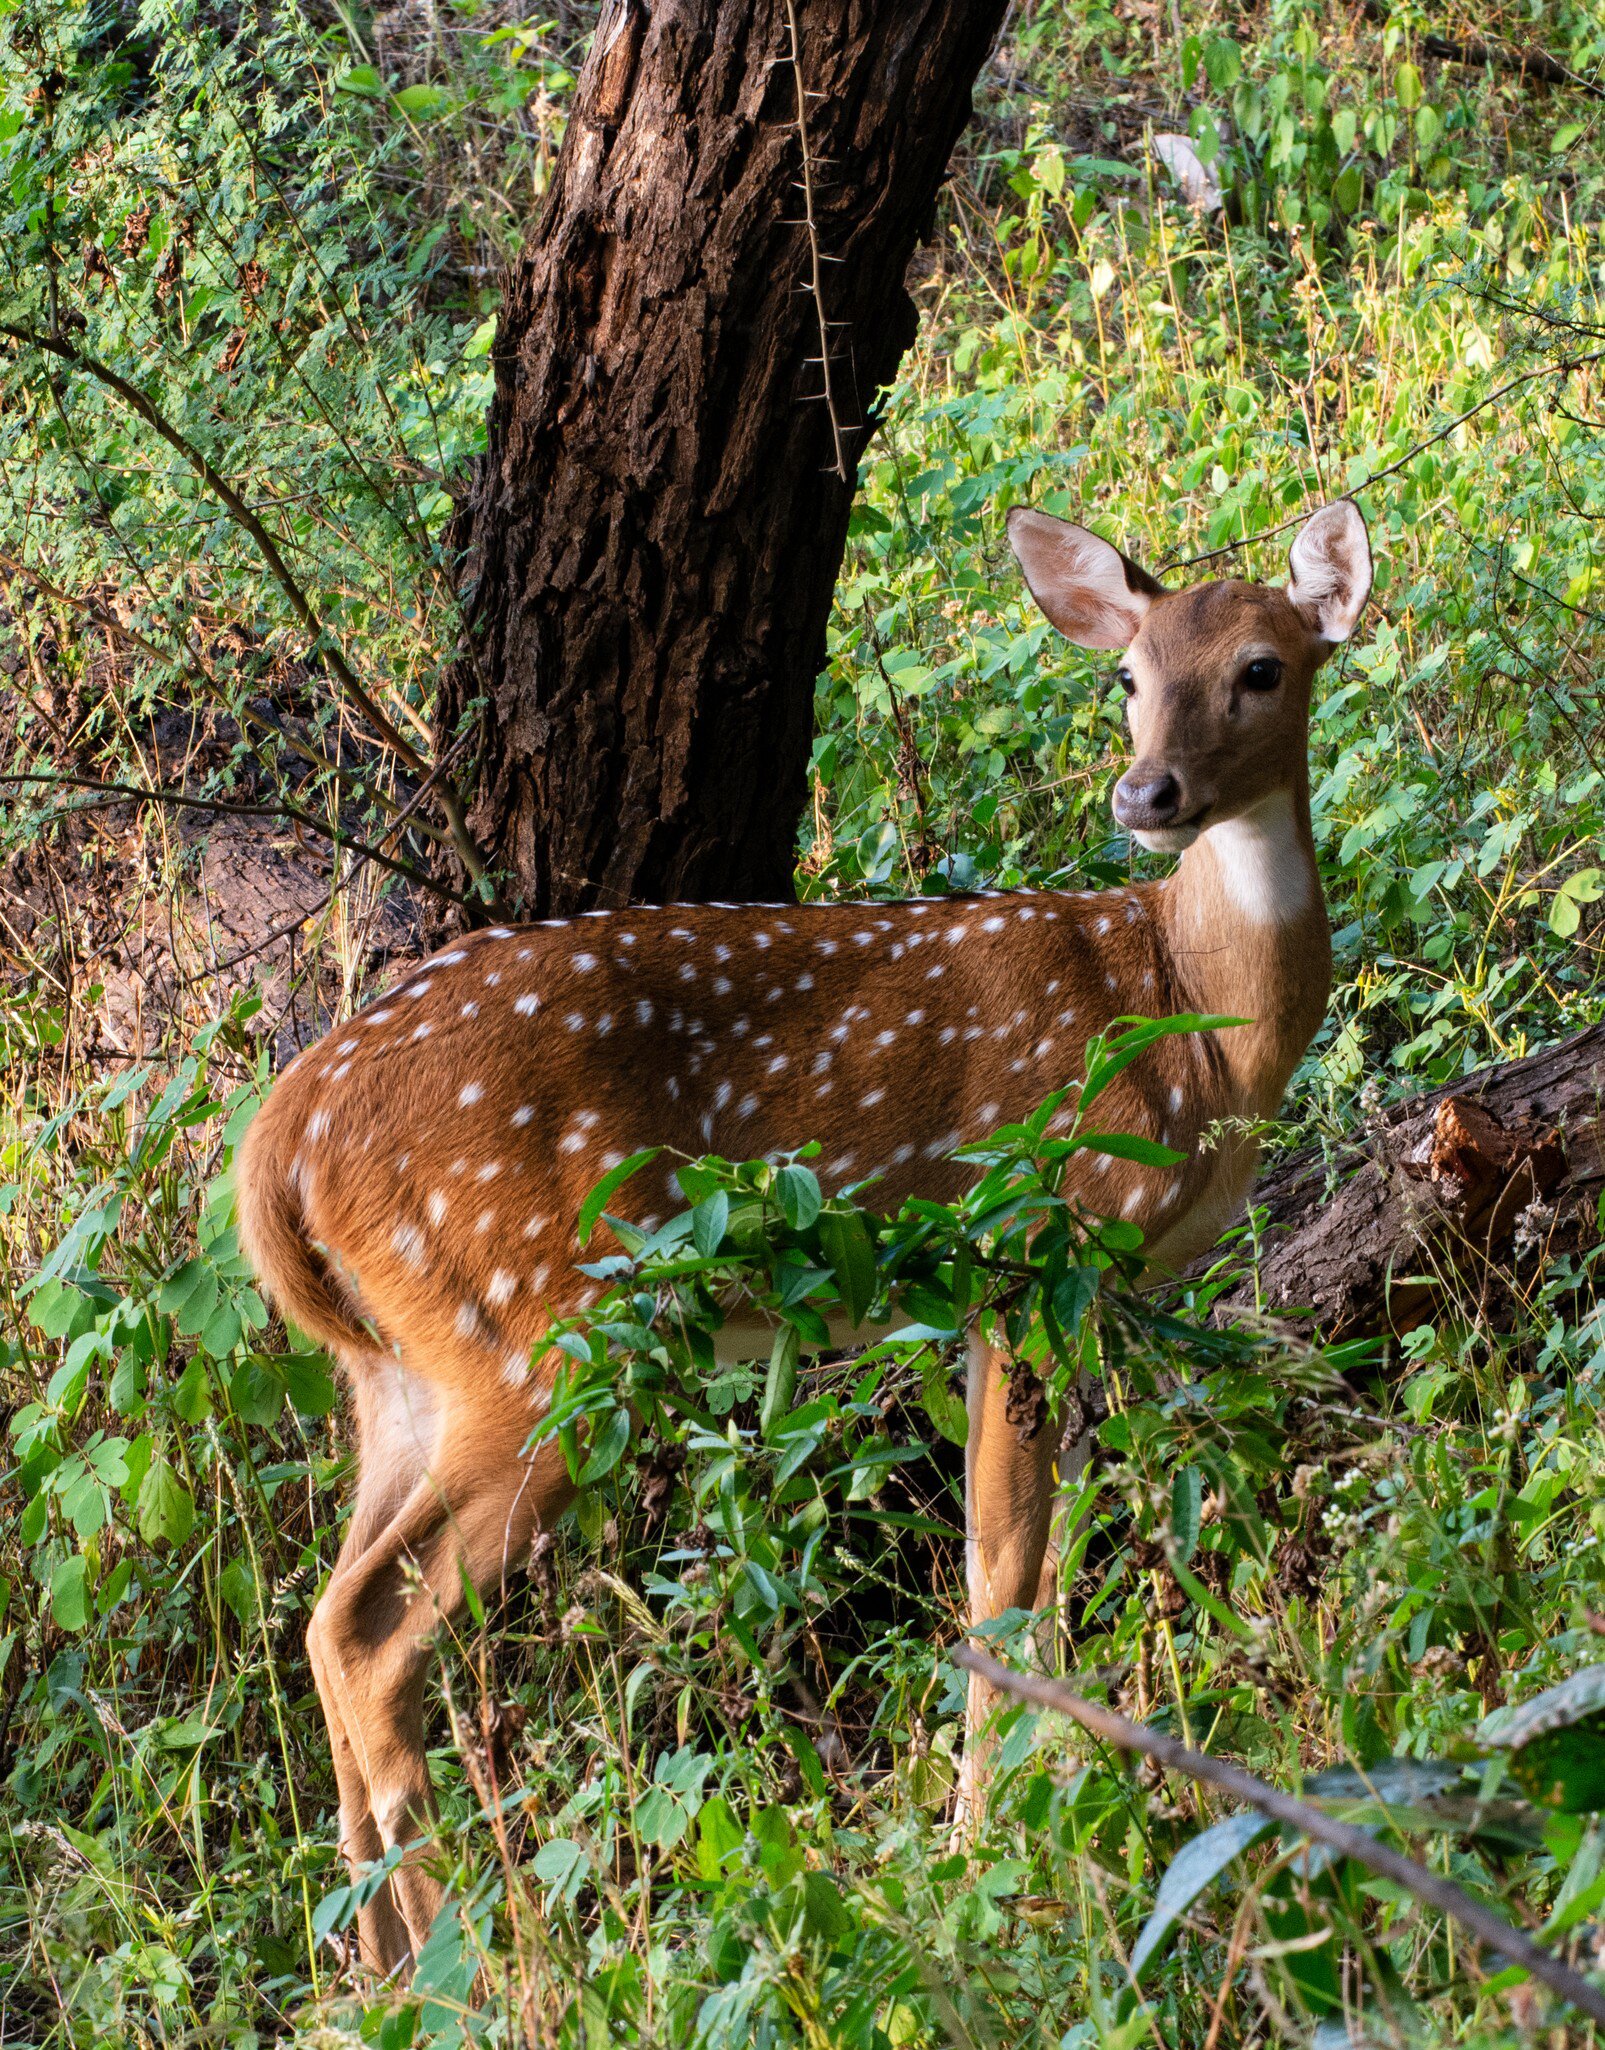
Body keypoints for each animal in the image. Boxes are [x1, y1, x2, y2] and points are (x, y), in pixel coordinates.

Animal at [235, 497, 1371, 1972]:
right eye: (1127, 678)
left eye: (1260, 668)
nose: (1147, 796)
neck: (1193, 1014)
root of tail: (280, 1140)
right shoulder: (1030, 1238)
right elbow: (1000, 1563)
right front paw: (983, 1847)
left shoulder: (1080, 1288)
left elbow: (1050, 1556)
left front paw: (1065, 1802)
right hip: (537, 1330)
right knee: (372, 1632)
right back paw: (471, 1966)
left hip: (398, 1371)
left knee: (322, 1616)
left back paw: (370, 1970)